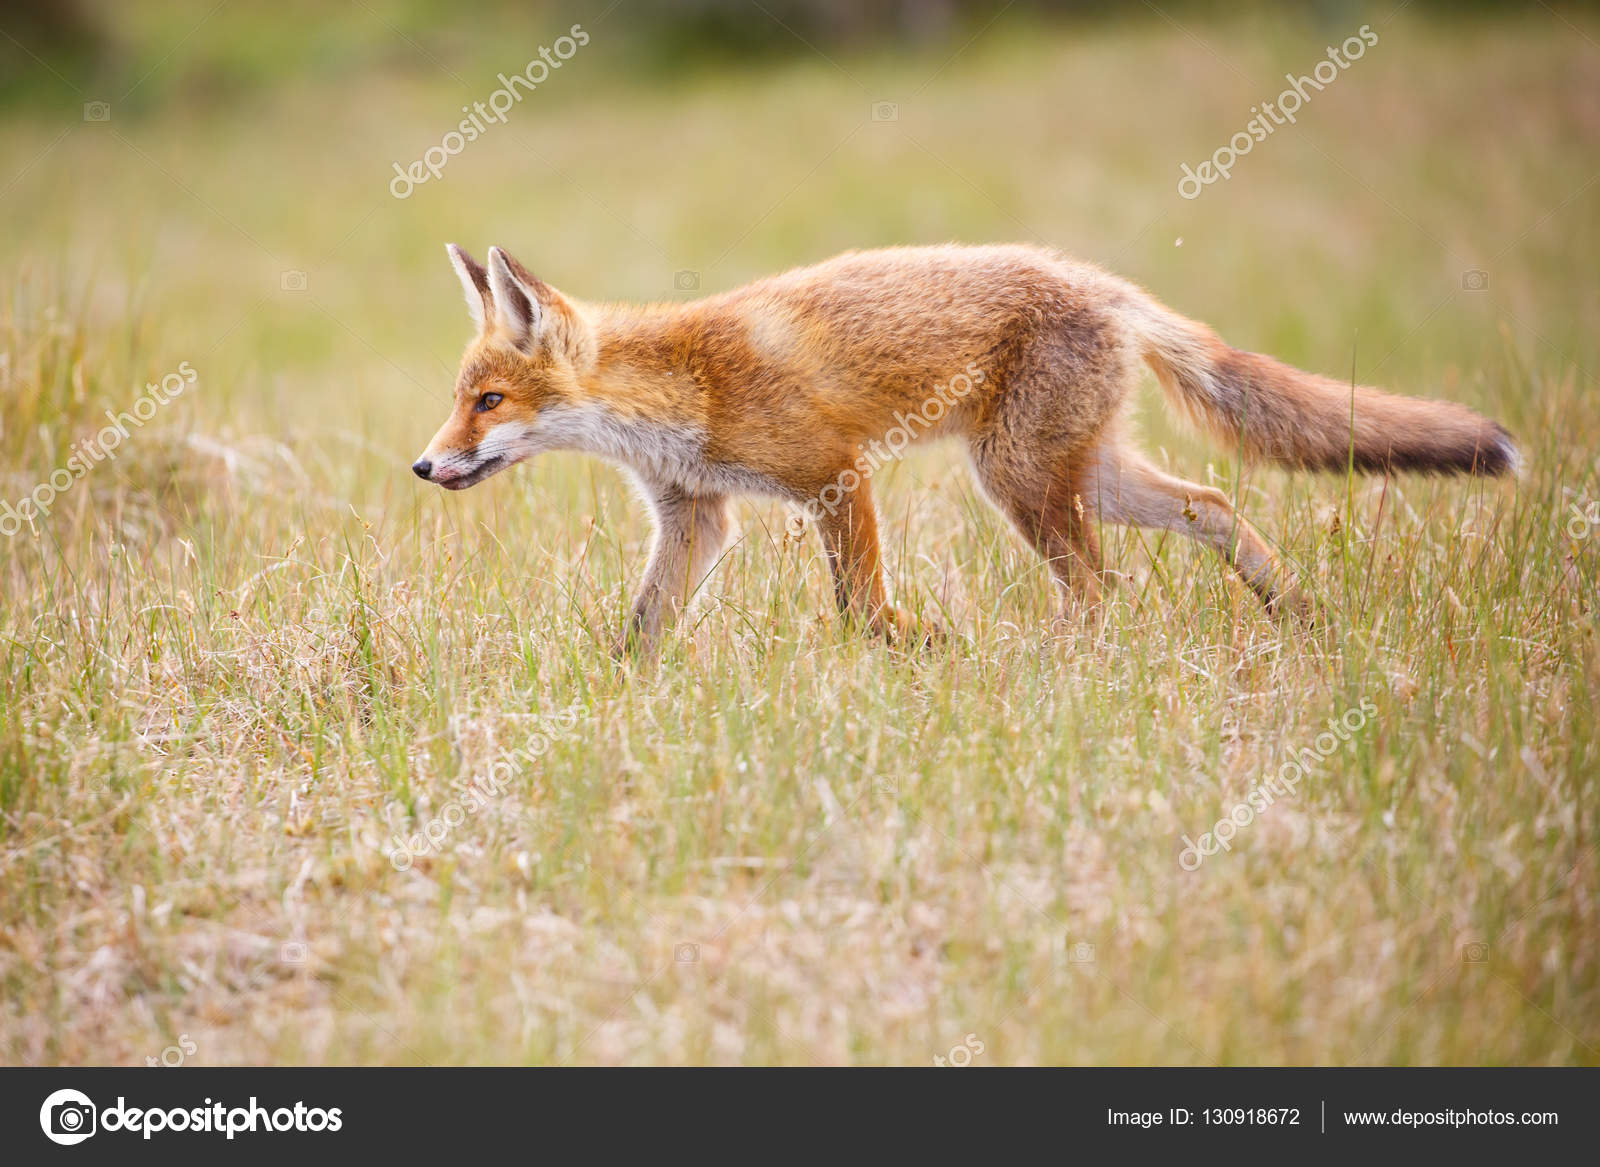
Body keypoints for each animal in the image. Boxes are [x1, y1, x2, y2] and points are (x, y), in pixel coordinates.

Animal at [414, 242, 1516, 655]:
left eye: (489, 400)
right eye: (459, 400)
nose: (423, 468)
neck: (681, 387)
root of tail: (1105, 283)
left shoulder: (834, 475)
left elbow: (861, 609)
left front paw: (916, 649)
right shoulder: (698, 516)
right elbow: (640, 628)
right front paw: (616, 694)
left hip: (1021, 481)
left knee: (1099, 586)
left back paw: (1059, 662)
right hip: (1082, 476)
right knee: (1208, 508)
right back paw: (1294, 611)